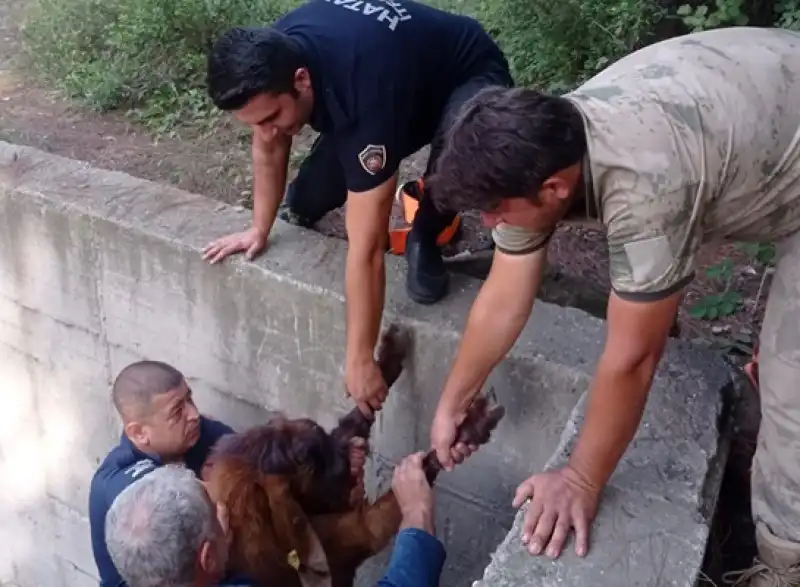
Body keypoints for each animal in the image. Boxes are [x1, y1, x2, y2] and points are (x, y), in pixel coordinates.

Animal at [203, 324, 504, 587]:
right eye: (306, 460)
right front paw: (467, 431)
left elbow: (355, 417)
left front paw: (385, 363)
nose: (346, 456)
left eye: (317, 433)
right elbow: (382, 516)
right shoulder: (342, 536)